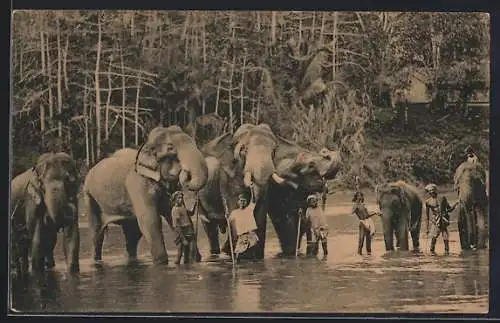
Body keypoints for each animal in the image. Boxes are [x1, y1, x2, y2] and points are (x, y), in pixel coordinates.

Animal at [83, 126, 208, 266]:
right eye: (171, 148)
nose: (186, 173)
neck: (146, 146)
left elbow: (171, 214)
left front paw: (196, 259)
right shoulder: (138, 184)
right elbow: (150, 221)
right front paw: (161, 263)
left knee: (133, 234)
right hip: (90, 196)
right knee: (97, 232)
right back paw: (96, 261)